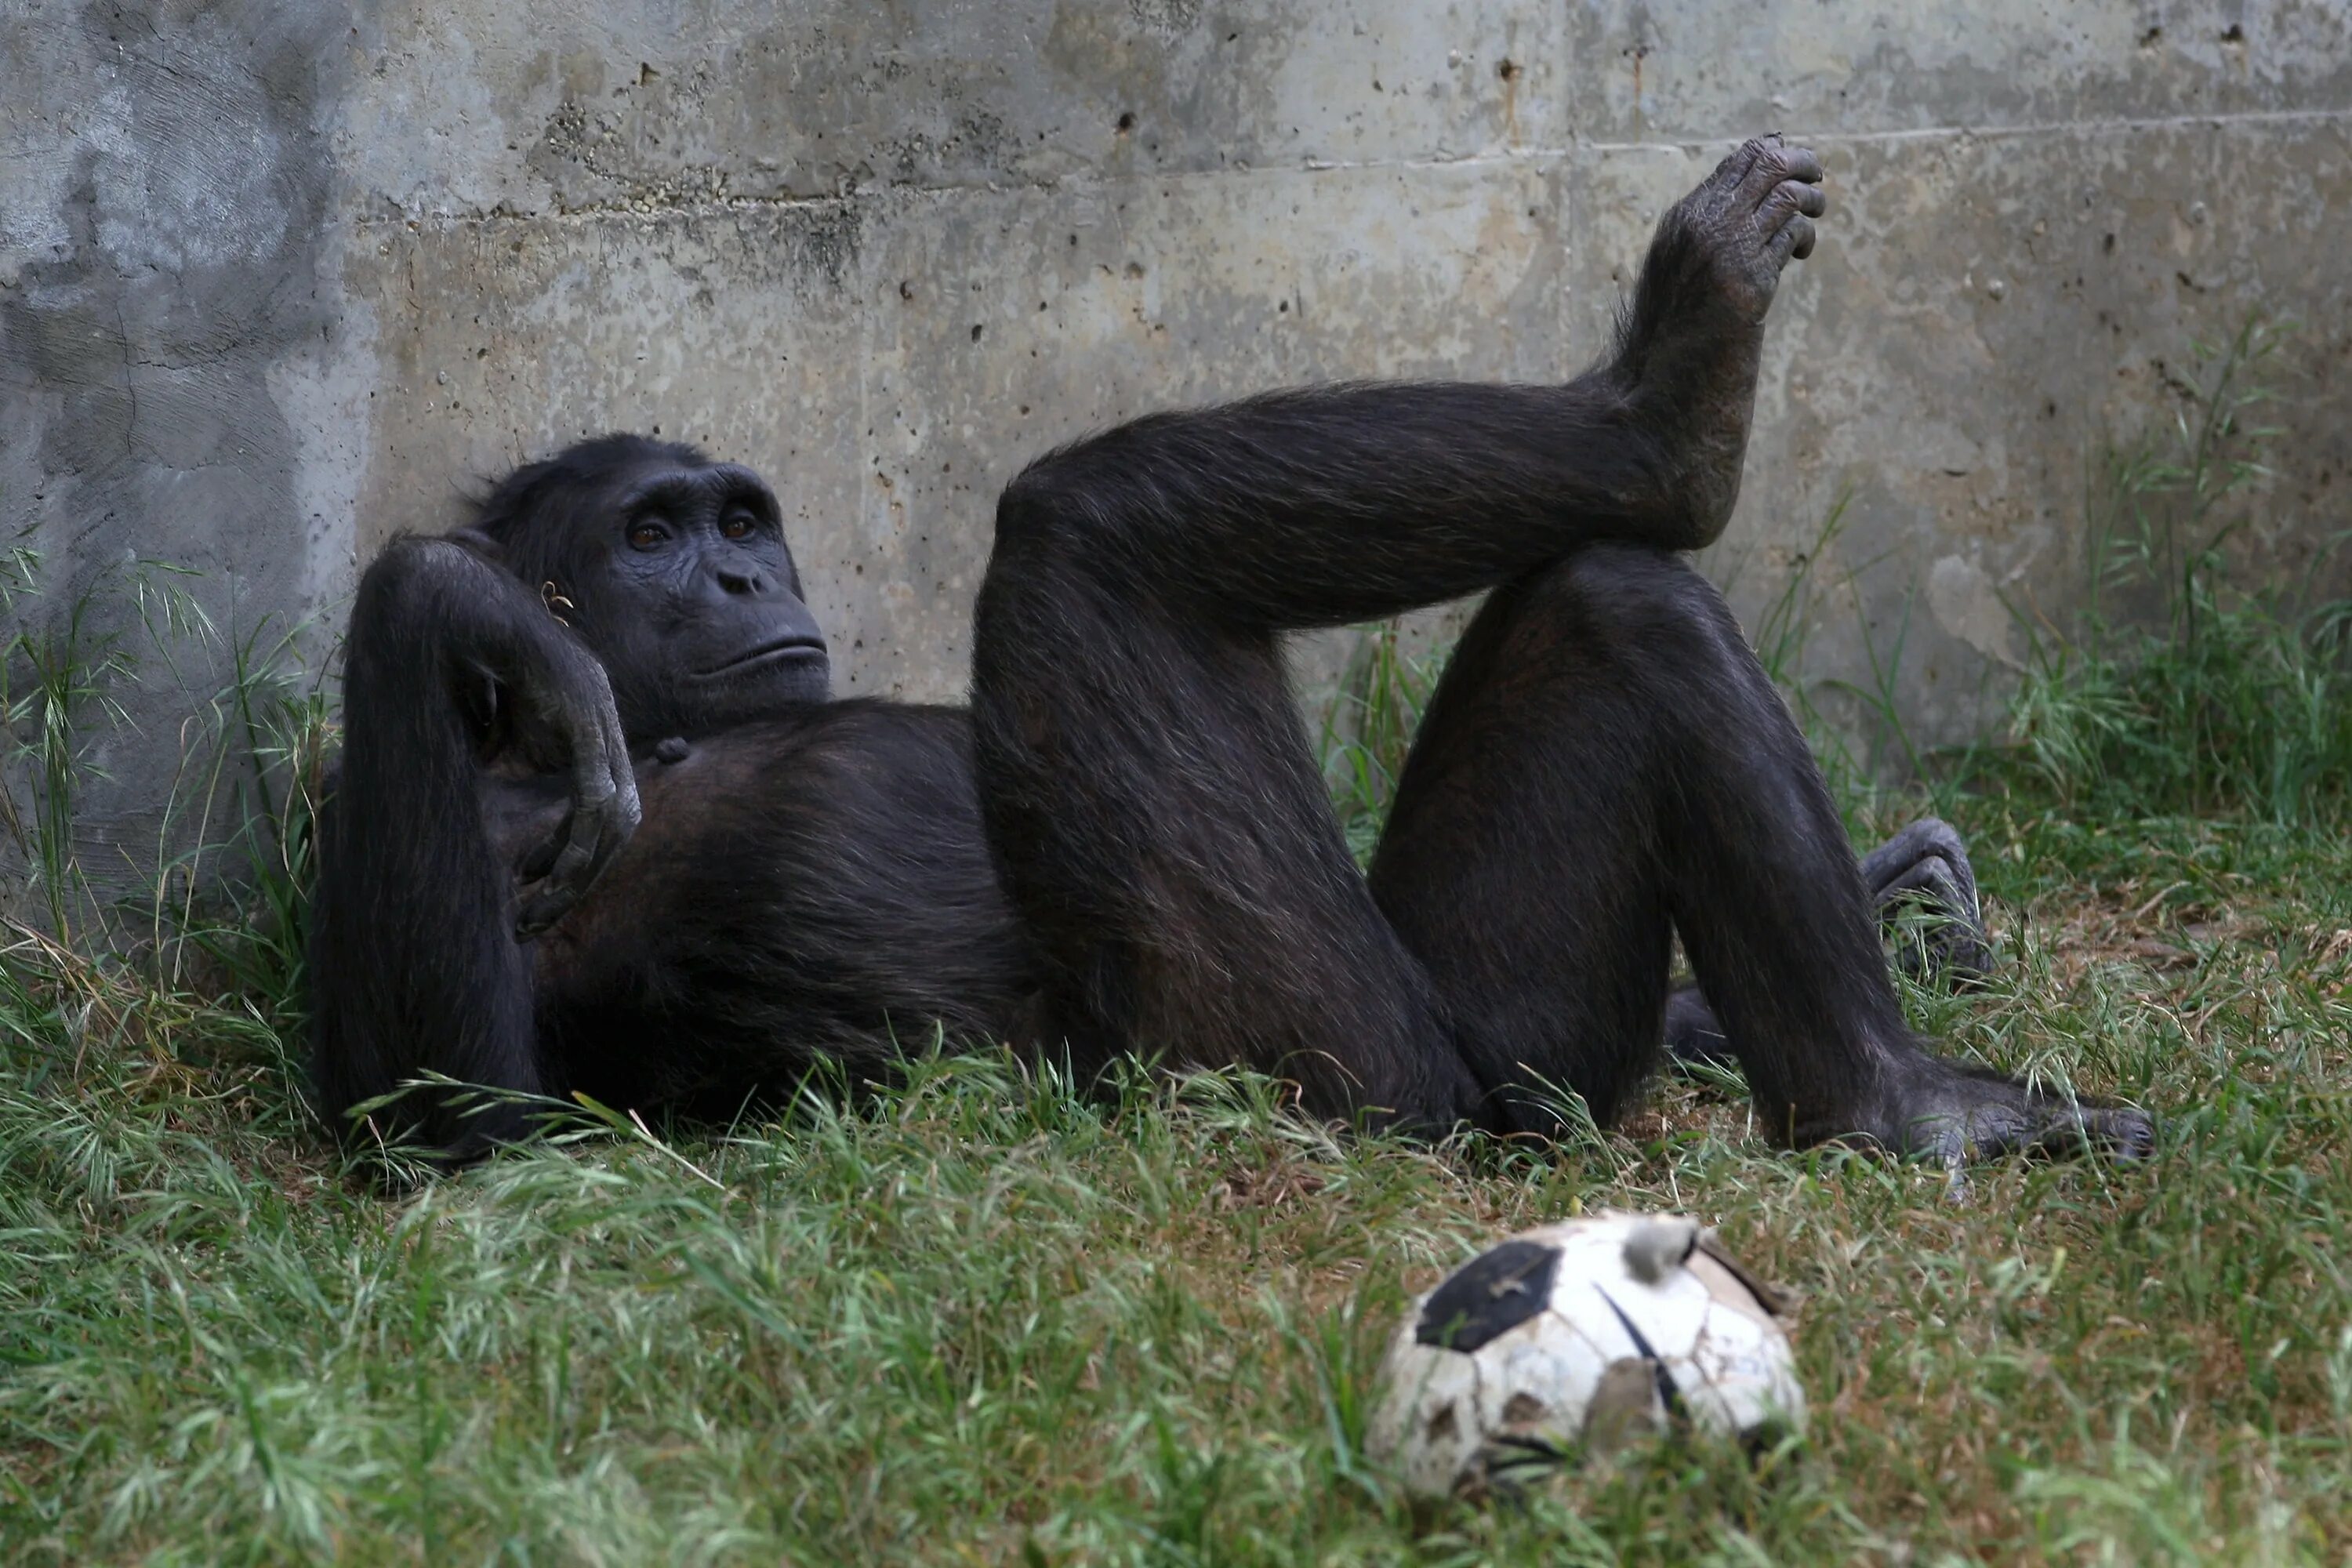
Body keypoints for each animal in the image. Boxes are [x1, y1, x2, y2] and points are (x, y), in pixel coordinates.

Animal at [308, 135, 2154, 1166]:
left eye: (738, 516)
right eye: (651, 538)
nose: (750, 573)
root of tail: (1494, 1112)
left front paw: (1906, 896)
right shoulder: (524, 826)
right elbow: (465, 1118)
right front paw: (451, 602)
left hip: (1507, 1044)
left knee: (1607, 614)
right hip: (1319, 1064)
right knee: (1086, 522)